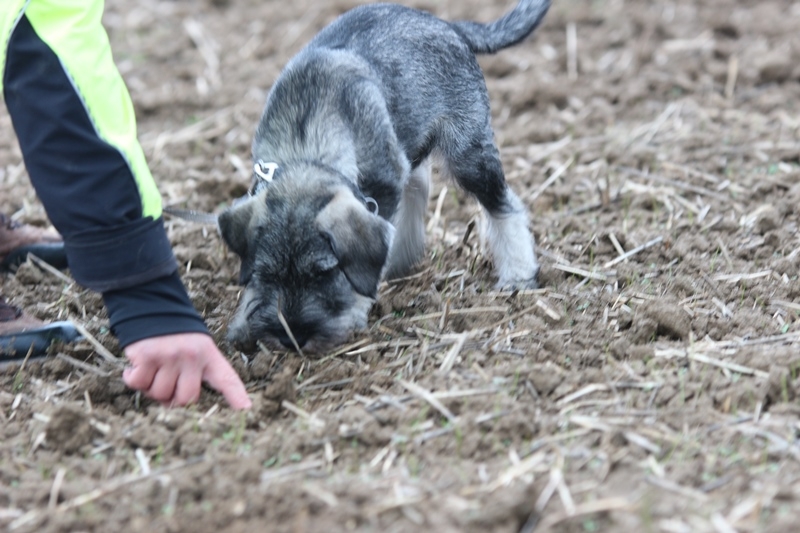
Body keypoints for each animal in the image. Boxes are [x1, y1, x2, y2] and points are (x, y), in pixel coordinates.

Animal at [217, 1, 552, 354]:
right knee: (418, 187)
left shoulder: (382, 184)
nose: (291, 338)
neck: (306, 137)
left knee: (502, 205)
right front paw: (243, 321)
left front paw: (357, 306)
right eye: (265, 274)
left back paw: (518, 274)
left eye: (323, 273)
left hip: (469, 155)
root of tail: (449, 26)